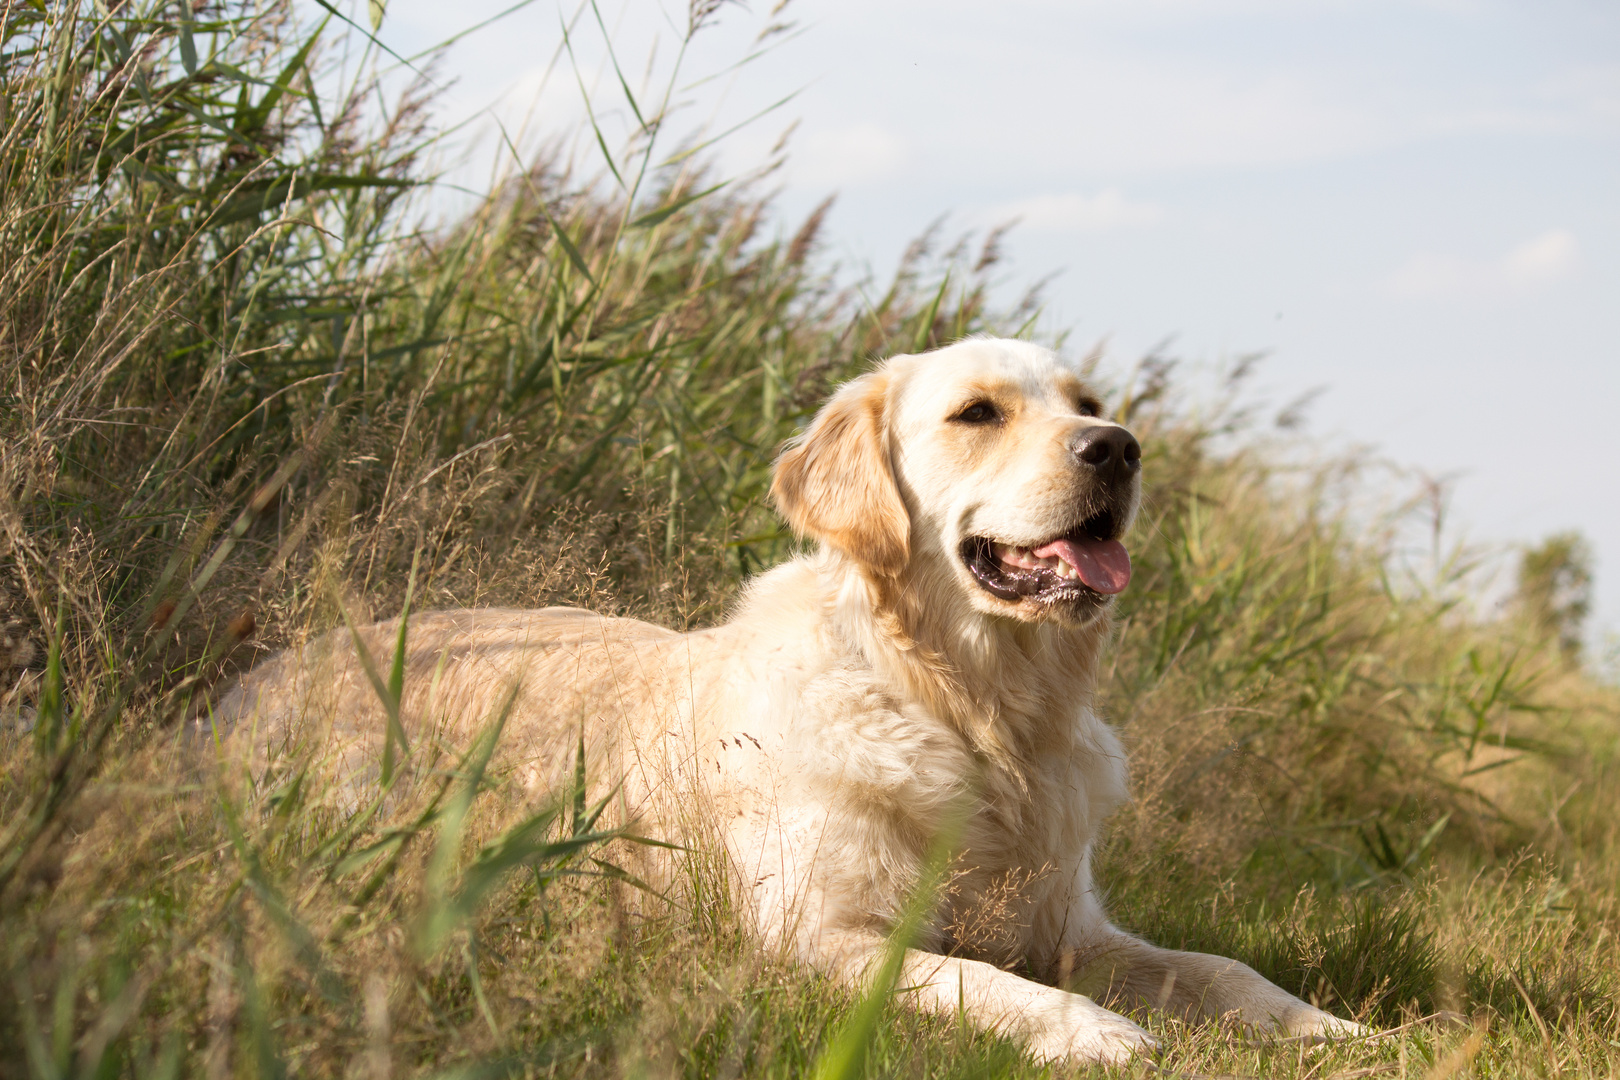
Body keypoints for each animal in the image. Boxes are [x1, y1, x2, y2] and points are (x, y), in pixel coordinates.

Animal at [205, 338, 1367, 1062]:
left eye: (1086, 405)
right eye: (978, 413)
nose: (1118, 447)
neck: (976, 713)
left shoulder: (1072, 921)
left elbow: (1220, 967)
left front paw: (1331, 1028)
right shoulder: (818, 935)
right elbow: (978, 980)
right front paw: (1090, 1031)